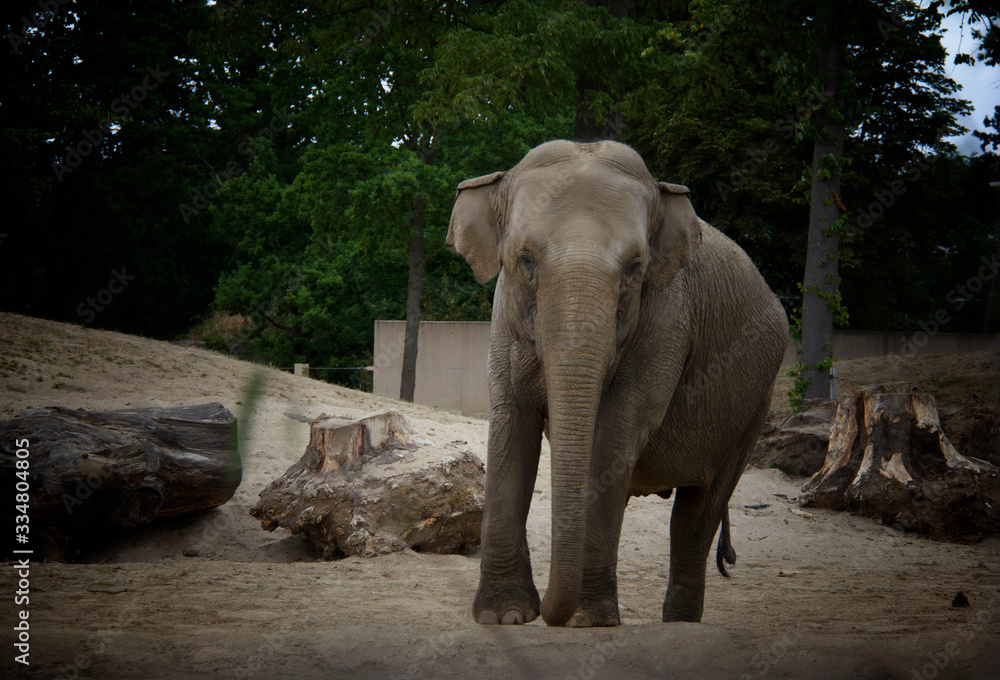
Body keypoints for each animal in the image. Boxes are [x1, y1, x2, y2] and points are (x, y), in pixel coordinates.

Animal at [446, 140, 788, 628]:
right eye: (525, 260)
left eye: (634, 267)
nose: (547, 613)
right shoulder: (504, 316)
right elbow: (513, 424)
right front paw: (504, 616)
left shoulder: (667, 318)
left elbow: (615, 433)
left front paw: (585, 620)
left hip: (755, 407)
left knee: (696, 515)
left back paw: (678, 624)